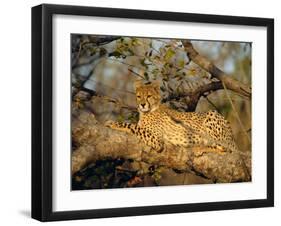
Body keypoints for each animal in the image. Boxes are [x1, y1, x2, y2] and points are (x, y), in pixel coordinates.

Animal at [105, 79, 238, 154]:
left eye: (148, 96)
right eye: (139, 96)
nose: (142, 104)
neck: (149, 110)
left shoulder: (158, 140)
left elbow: (132, 126)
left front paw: (112, 123)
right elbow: (134, 126)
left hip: (212, 114)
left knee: (225, 148)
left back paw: (200, 148)